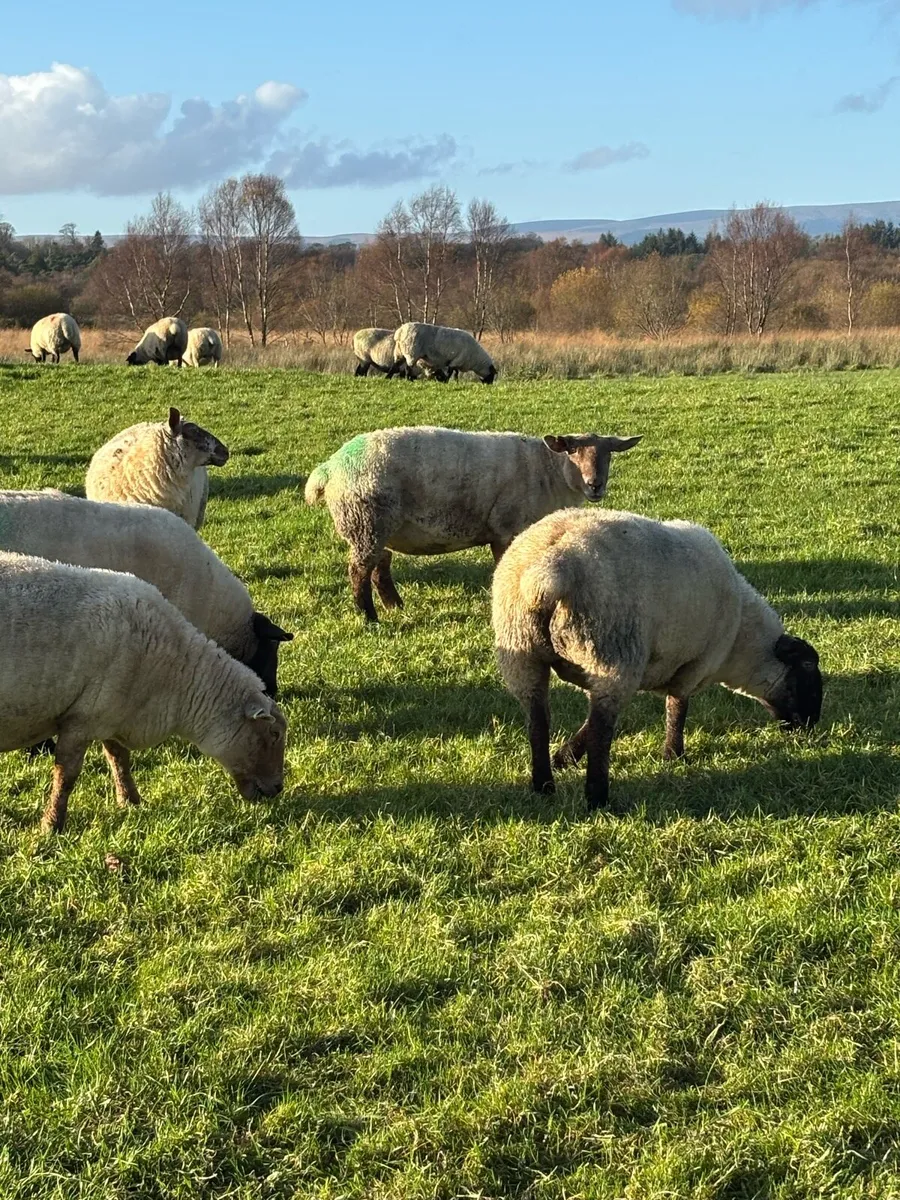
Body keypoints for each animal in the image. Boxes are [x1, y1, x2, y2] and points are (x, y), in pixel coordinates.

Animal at [0, 550, 286, 833]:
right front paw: (52, 825)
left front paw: (130, 801)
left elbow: (118, 759)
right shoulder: (80, 718)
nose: (278, 788)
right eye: (274, 734)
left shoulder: (110, 713)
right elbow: (66, 775)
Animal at [304, 425, 641, 621]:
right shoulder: (506, 530)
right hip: (366, 520)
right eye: (573, 450)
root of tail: (329, 468)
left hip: (378, 526)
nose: (595, 485)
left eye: (608, 454)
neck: (548, 471)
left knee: (380, 564)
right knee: (359, 569)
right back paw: (369, 617)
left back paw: (394, 606)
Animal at [492, 507, 823, 811]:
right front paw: (674, 756)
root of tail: (548, 570)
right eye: (808, 668)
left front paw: (564, 757)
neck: (741, 639)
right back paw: (598, 799)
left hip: (524, 653)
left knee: (538, 721)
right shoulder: (693, 666)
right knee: (601, 731)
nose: (811, 725)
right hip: (612, 652)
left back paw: (544, 785)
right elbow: (677, 709)